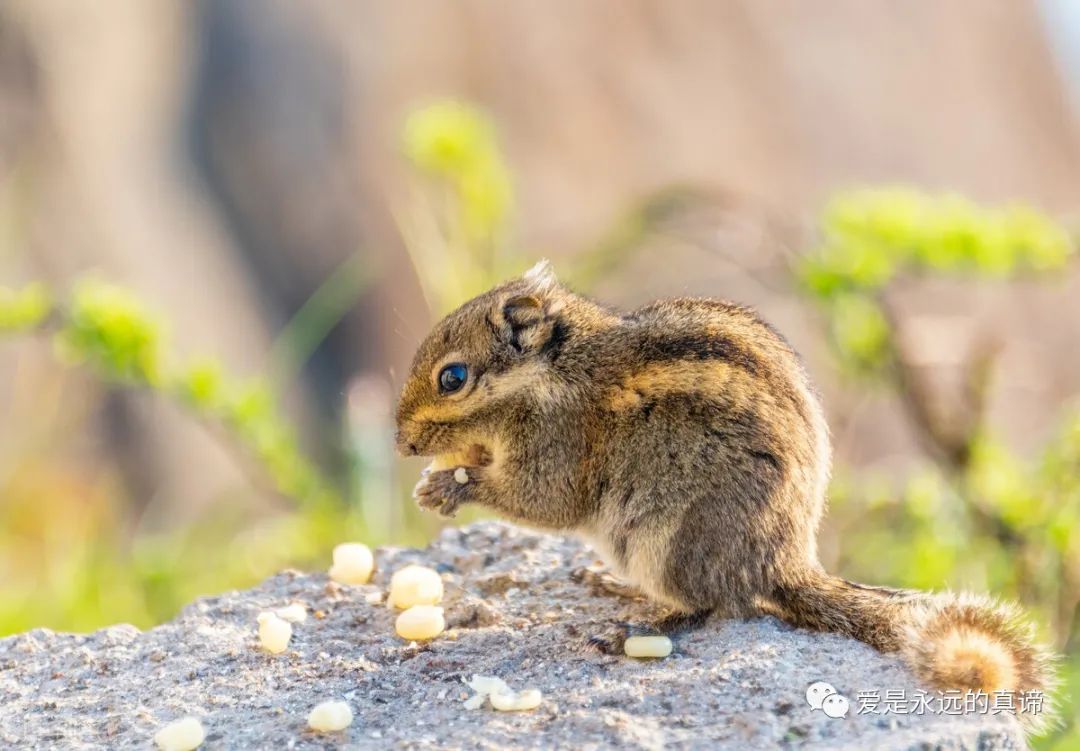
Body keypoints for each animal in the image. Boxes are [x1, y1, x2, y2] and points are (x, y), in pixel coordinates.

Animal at [395, 260, 1054, 730]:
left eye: (453, 377)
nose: (402, 442)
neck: (552, 372)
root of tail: (785, 563)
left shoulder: (558, 443)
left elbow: (543, 502)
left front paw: (449, 486)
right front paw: (440, 479)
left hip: (667, 538)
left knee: (711, 606)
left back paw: (634, 627)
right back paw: (613, 587)